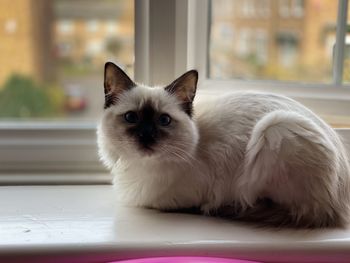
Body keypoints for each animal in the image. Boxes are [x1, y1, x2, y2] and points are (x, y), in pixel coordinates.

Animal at [97, 62, 350, 229]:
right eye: (131, 117)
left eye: (164, 120)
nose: (146, 136)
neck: (138, 168)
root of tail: (339, 206)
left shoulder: (176, 198)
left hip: (275, 128)